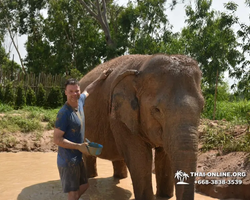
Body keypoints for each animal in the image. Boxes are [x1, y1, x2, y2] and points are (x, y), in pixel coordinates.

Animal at [79, 54, 204, 200]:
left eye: (202, 107)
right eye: (157, 110)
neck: (142, 66)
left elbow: (165, 154)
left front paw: (165, 196)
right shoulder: (119, 116)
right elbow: (140, 158)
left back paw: (120, 177)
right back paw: (92, 177)